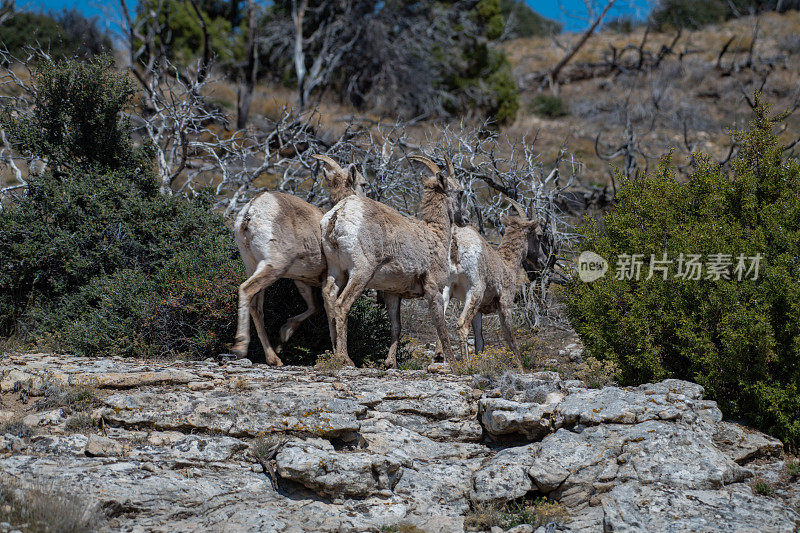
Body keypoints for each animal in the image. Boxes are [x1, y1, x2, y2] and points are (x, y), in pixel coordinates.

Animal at [230, 153, 368, 362]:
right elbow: (329, 312)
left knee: (256, 307)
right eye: (363, 184)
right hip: (274, 266)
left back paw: (274, 358)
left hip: (253, 265)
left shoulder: (302, 280)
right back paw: (239, 347)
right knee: (246, 290)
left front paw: (284, 336)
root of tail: (251, 210)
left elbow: (314, 307)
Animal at [320, 154, 468, 366]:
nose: (465, 218)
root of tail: (338, 214)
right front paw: (454, 365)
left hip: (336, 270)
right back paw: (345, 359)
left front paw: (390, 363)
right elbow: (441, 327)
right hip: (361, 272)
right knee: (342, 305)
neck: (434, 235)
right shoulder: (434, 289)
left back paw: (333, 355)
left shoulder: (392, 293)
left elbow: (396, 327)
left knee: (329, 300)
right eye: (460, 192)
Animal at [438, 197, 544, 360]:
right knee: (462, 326)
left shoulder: (478, 311)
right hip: (475, 291)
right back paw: (464, 363)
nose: (541, 261)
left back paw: (442, 358)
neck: (506, 265)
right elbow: (511, 341)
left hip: (446, 290)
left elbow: (479, 341)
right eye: (539, 235)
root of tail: (456, 239)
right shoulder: (505, 305)